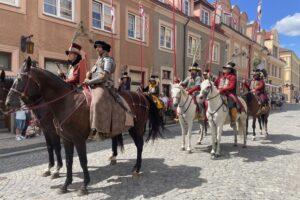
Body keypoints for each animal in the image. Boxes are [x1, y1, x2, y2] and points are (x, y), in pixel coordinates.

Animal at [4, 57, 164, 195]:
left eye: (20, 79)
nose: (8, 103)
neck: (66, 102)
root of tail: (143, 95)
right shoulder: (64, 138)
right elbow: (67, 159)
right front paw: (65, 184)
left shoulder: (77, 139)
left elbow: (81, 160)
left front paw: (83, 185)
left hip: (137, 129)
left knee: (139, 146)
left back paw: (136, 168)